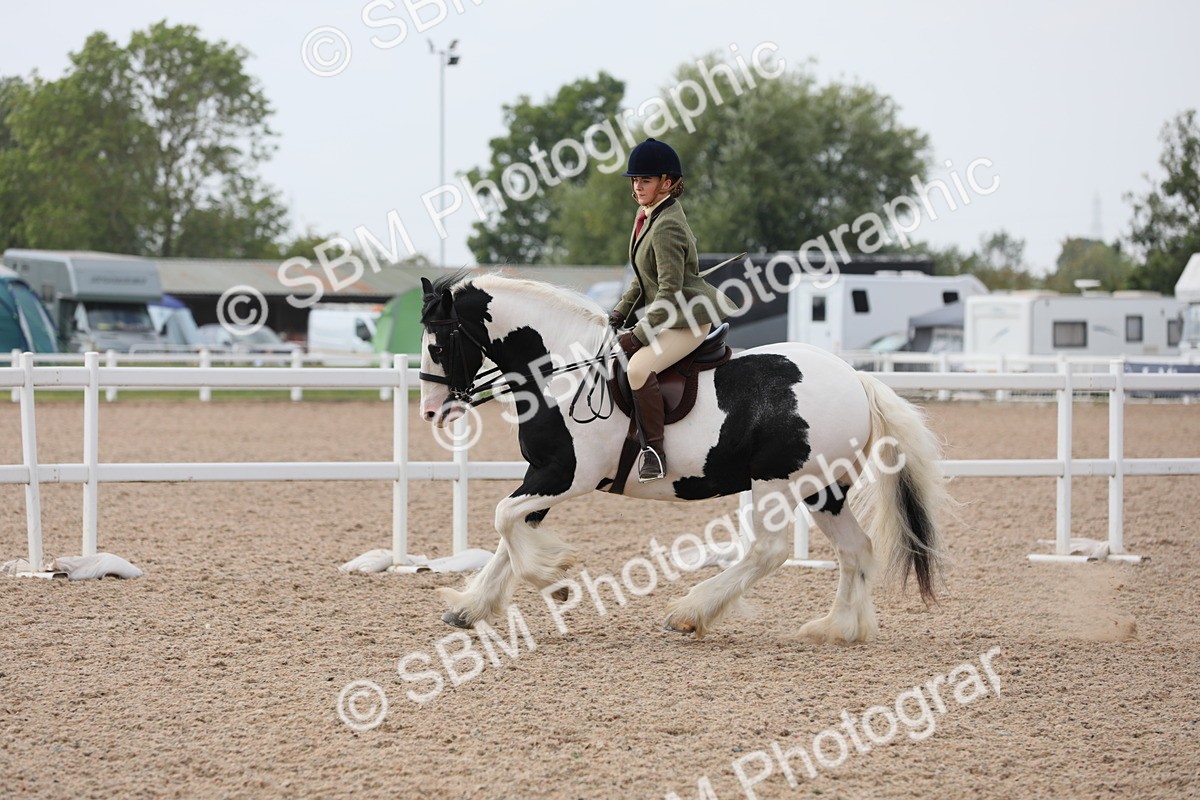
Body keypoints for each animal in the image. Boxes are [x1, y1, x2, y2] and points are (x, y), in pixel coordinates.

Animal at [417, 271, 950, 643]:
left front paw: (555, 583)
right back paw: (837, 628)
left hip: (776, 482)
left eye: (438, 345)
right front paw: (469, 607)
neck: (559, 371)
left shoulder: (565, 475)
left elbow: (504, 519)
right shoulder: (542, 475)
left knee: (768, 551)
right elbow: (510, 533)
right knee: (854, 549)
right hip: (823, 488)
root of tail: (856, 378)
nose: (429, 411)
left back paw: (689, 613)